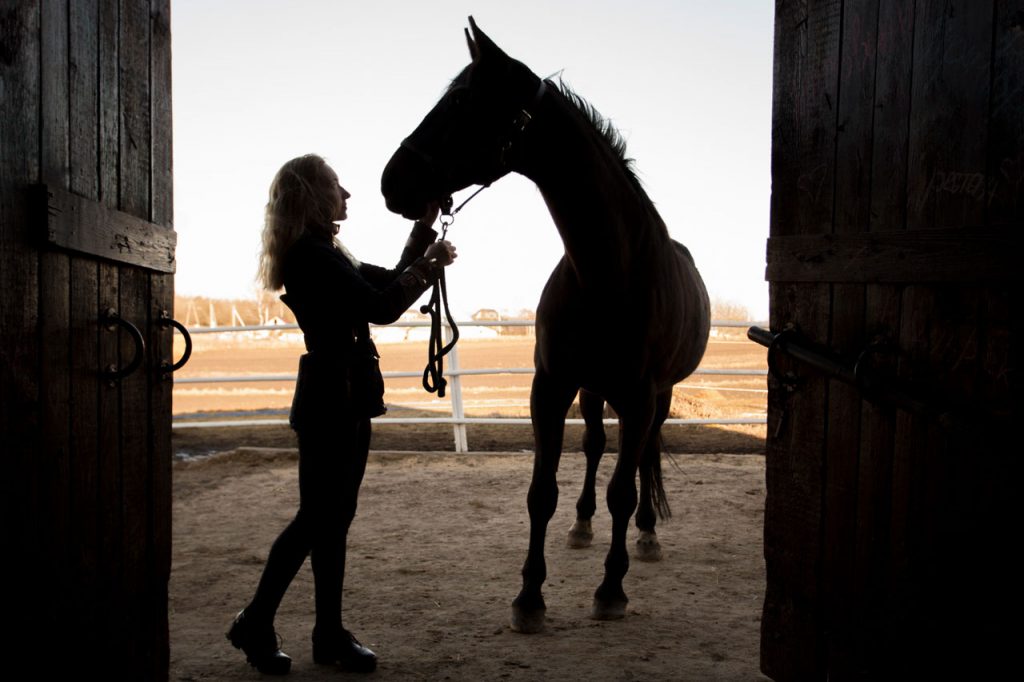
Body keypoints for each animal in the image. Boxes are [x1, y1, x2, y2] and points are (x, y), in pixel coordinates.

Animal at [381, 17, 710, 634]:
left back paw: (647, 535)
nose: (393, 180)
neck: (607, 271)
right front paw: (530, 595)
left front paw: (611, 589)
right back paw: (582, 526)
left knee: (641, 458)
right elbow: (542, 492)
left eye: (460, 101)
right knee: (595, 447)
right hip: (592, 389)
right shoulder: (551, 388)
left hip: (655, 397)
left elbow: (623, 492)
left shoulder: (638, 396)